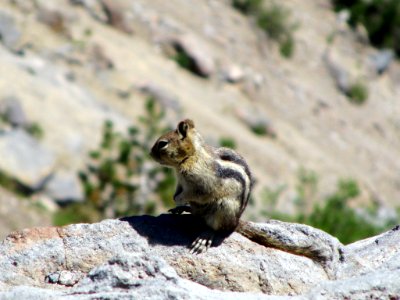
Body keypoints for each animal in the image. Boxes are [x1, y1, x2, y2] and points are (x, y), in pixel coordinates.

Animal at [150, 119, 253, 253]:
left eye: (162, 144)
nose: (150, 153)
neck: (192, 156)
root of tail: (235, 222)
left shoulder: (202, 186)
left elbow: (193, 194)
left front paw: (178, 199)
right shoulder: (181, 182)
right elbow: (179, 190)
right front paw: (176, 199)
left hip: (224, 208)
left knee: (216, 229)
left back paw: (204, 237)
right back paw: (183, 209)